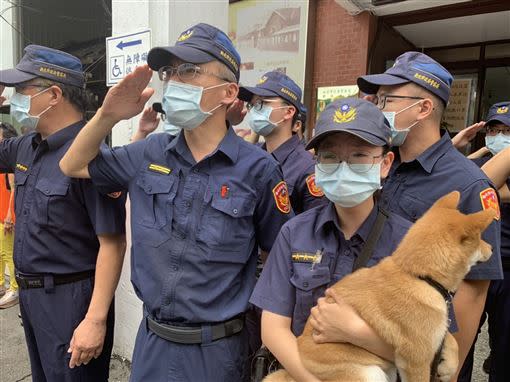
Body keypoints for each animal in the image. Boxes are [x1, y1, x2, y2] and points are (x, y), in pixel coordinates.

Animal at [264, 192, 496, 380]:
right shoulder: (416, 359)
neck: (416, 275)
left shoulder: (434, 331)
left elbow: (451, 339)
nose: (492, 248)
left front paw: (449, 365)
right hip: (369, 374)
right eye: (480, 239)